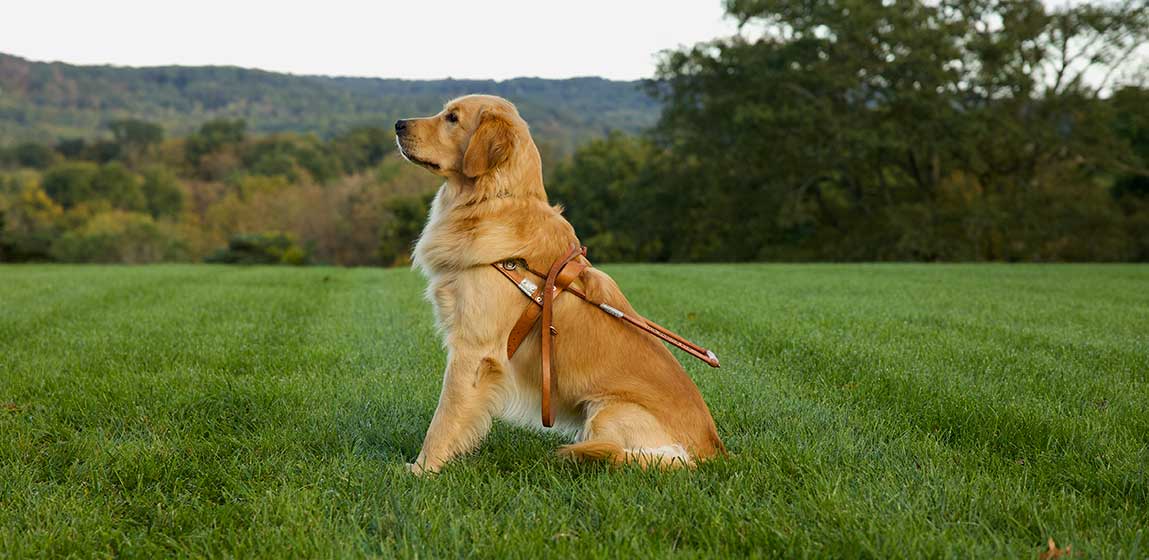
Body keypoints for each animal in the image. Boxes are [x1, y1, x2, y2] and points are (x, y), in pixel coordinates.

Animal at [392, 95, 716, 473]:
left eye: (452, 118)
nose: (398, 124)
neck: (495, 199)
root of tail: (714, 451)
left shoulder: (473, 349)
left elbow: (444, 418)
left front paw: (421, 470)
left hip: (608, 410)